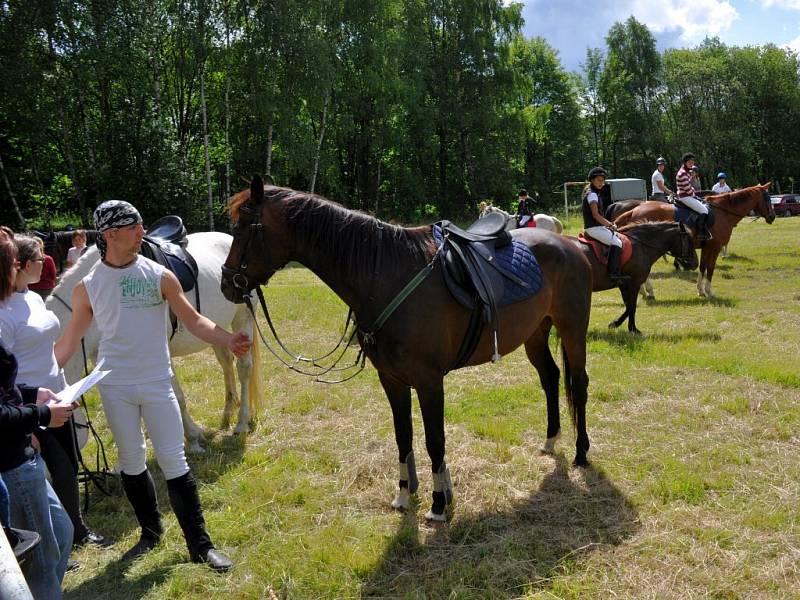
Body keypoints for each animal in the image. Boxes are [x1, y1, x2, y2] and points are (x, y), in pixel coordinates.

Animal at [219, 177, 592, 520]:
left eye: (244, 227)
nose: (227, 283)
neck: (386, 277)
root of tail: (569, 244)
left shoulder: (429, 381)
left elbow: (434, 440)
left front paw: (439, 503)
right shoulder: (392, 379)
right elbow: (403, 436)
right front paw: (403, 494)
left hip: (572, 330)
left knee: (579, 382)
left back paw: (581, 452)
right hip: (535, 333)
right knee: (550, 378)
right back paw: (550, 441)